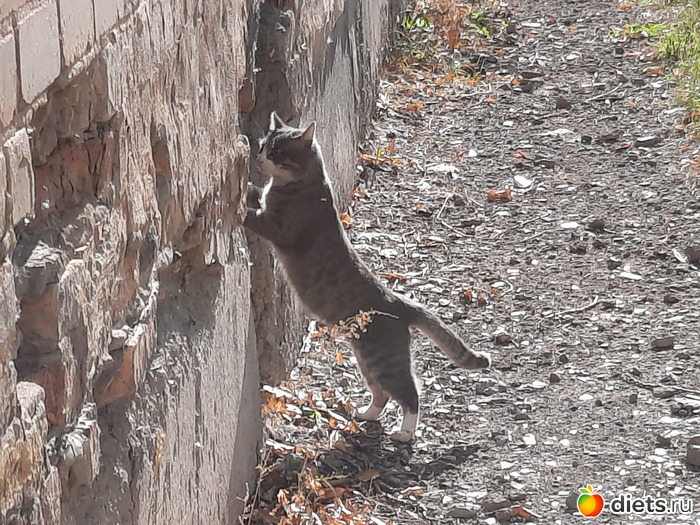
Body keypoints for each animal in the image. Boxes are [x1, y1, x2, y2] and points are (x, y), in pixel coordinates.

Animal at [244, 112, 491, 442]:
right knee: (381, 394)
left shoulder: (280, 227)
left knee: (410, 392)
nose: (259, 157)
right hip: (365, 358)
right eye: (263, 145)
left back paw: (405, 432)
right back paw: (365, 414)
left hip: (383, 360)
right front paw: (249, 187)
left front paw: (238, 201)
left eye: (277, 152)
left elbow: (255, 216)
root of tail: (398, 302)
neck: (305, 183)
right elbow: (258, 196)